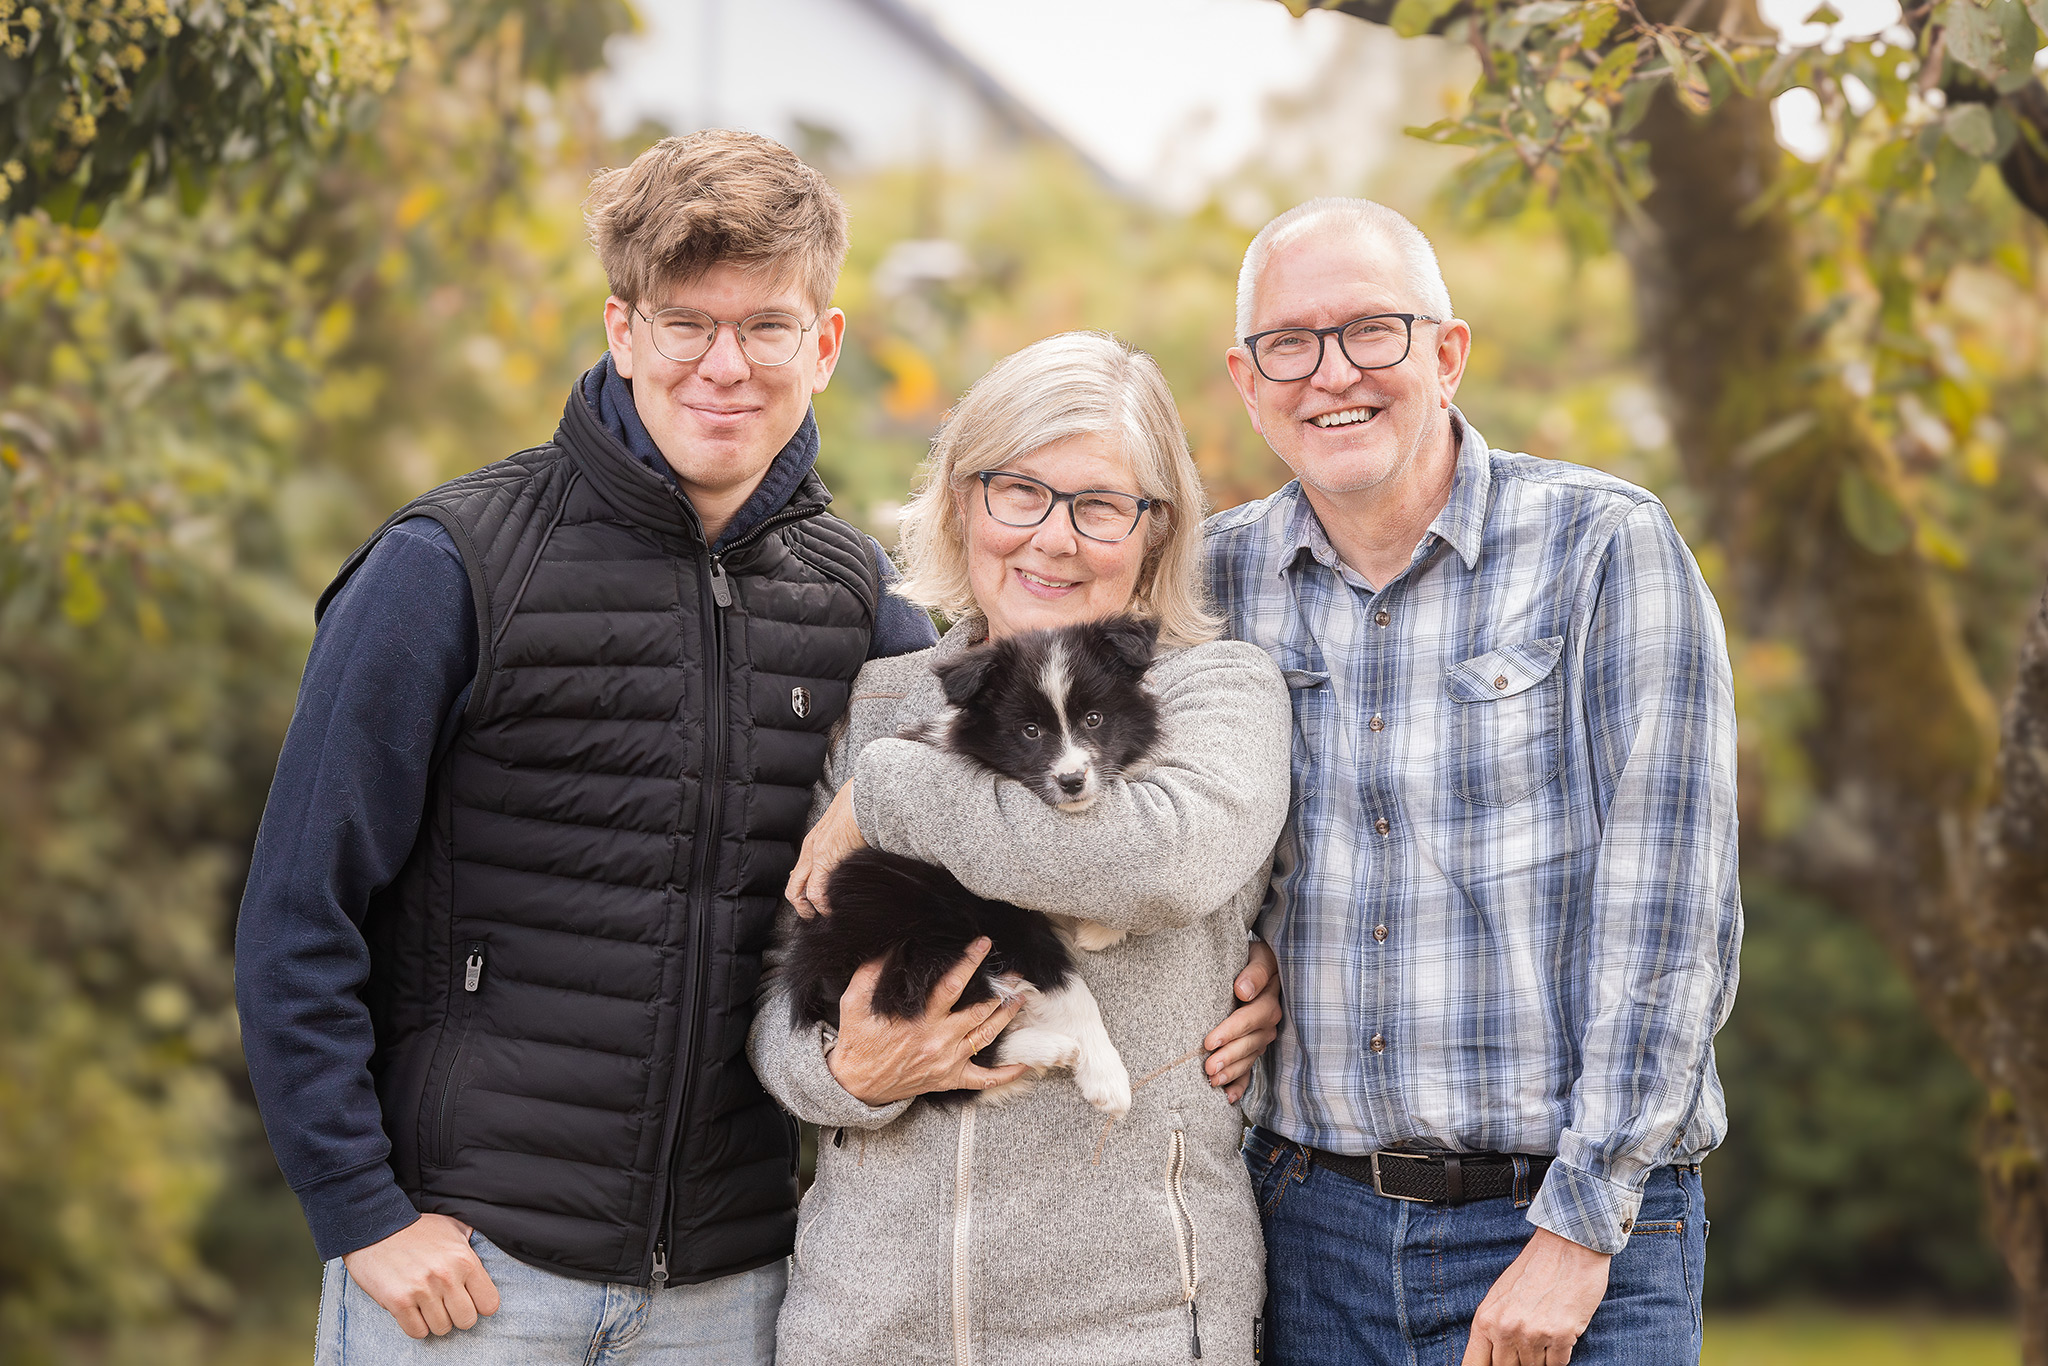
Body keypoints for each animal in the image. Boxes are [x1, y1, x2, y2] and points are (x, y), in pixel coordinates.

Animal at [782, 614, 1163, 1114]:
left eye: (1094, 718)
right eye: (1029, 731)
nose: (1072, 781)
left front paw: (1100, 929)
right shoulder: (1001, 915)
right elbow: (1070, 989)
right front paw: (1107, 1080)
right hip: (928, 933)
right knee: (950, 1053)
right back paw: (1053, 1049)